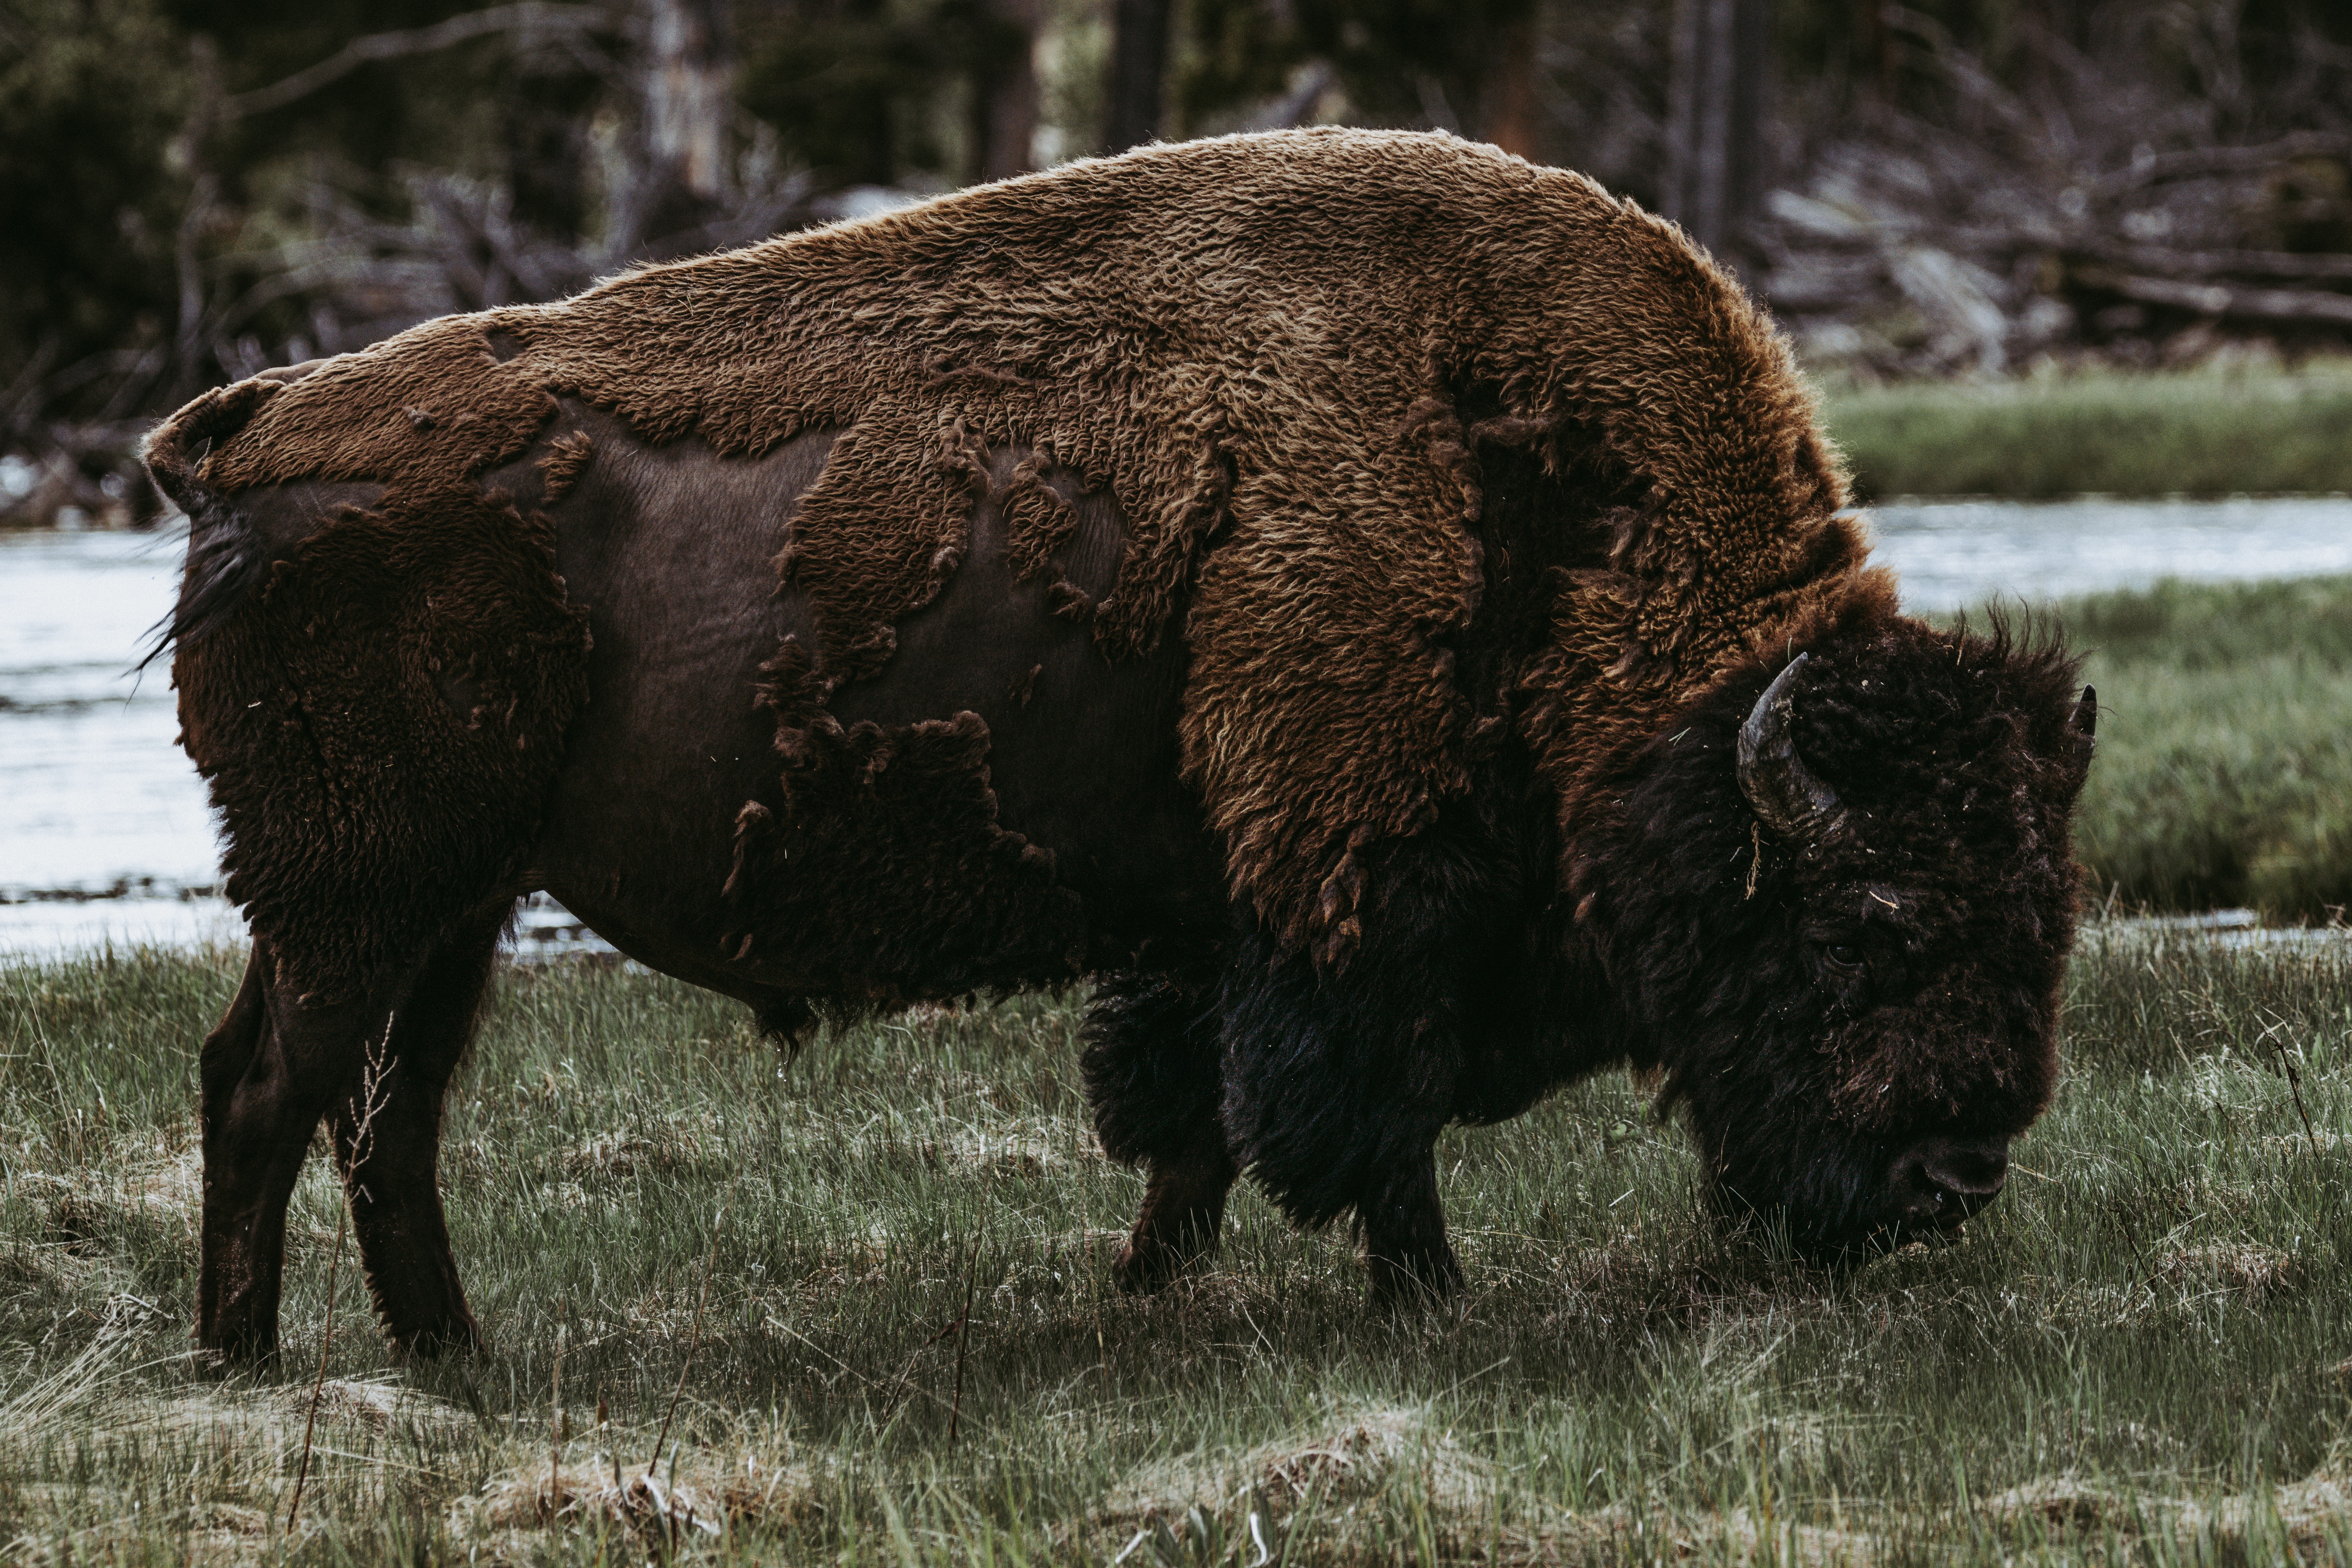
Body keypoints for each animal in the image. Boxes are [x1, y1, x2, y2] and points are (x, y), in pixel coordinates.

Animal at [145, 129, 2095, 1360]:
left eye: (2043, 921)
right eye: (1870, 921)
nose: (1957, 1176)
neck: (1548, 522)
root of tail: (235, 440)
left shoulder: (1205, 923)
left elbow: (1193, 1125)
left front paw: (1151, 1296)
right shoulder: (1345, 902)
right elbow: (1358, 1123)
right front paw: (1427, 1301)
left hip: (453, 905)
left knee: (387, 1116)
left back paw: (450, 1353)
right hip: (353, 893)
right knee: (267, 1086)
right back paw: (251, 1360)